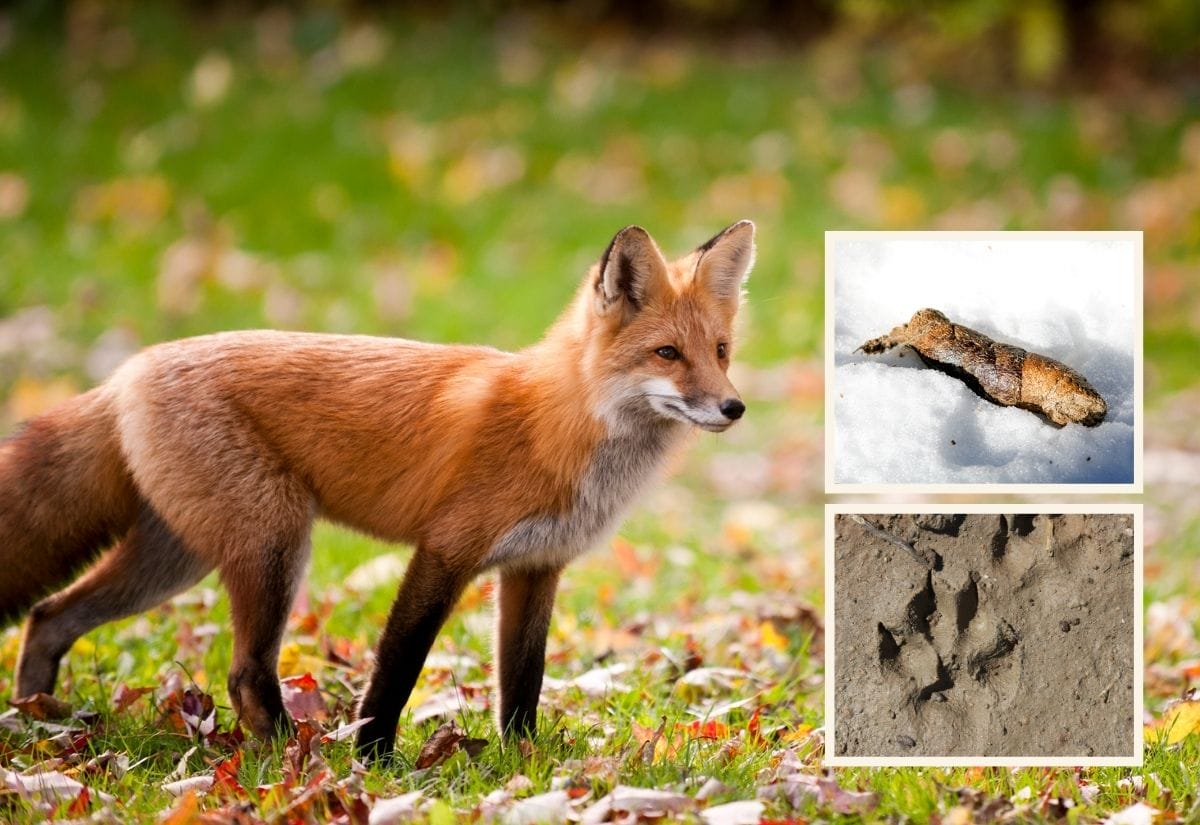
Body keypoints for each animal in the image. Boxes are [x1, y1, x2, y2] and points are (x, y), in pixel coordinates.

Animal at [0, 220, 753, 762]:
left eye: (720, 351)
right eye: (666, 354)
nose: (733, 407)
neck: (560, 423)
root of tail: (127, 370)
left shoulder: (537, 566)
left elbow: (523, 680)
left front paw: (525, 761)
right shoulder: (446, 550)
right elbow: (398, 665)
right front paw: (375, 759)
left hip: (176, 560)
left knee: (49, 615)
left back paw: (42, 719)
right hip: (274, 543)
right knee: (244, 673)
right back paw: (293, 759)